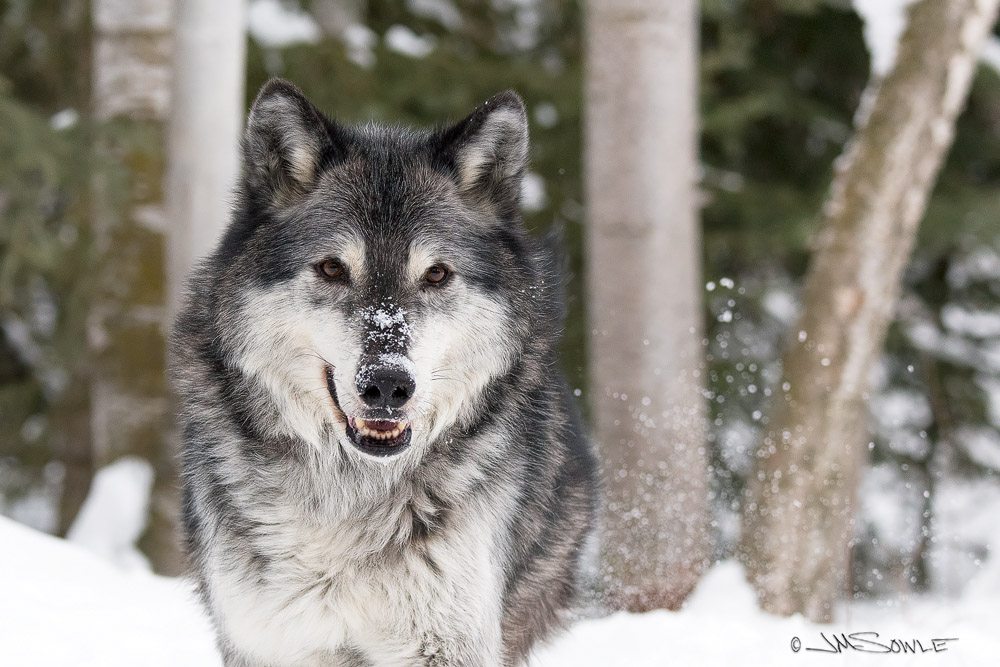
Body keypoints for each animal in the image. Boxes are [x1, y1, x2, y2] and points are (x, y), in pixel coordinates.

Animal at [171, 79, 597, 667]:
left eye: (436, 274)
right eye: (332, 268)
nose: (388, 385)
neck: (350, 495)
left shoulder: (447, 644)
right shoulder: (274, 641)